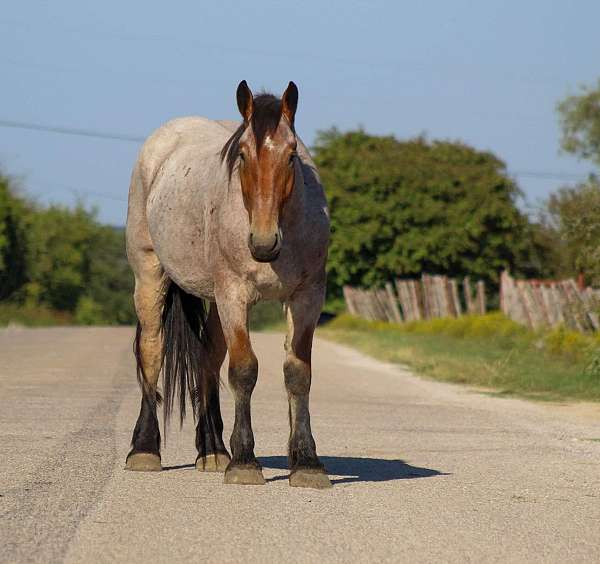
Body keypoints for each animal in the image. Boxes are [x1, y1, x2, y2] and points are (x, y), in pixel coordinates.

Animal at [125, 80, 332, 490]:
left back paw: (213, 450)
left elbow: (298, 373)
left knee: (207, 358)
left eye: (291, 155)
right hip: (151, 276)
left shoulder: (307, 297)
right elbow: (244, 370)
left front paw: (306, 463)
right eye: (242, 155)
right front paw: (245, 462)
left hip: (215, 300)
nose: (263, 243)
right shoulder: (235, 295)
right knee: (152, 351)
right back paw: (144, 450)